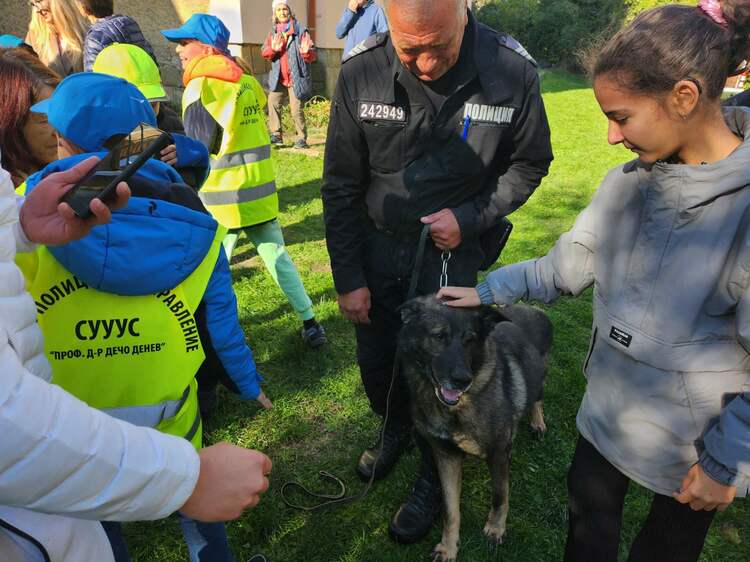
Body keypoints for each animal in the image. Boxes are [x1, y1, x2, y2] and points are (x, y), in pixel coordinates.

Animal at [400, 296, 552, 556]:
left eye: (469, 340)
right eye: (439, 336)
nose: (462, 380)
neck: (455, 408)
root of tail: (534, 308)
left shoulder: (498, 454)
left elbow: (500, 496)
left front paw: (495, 529)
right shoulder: (446, 456)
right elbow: (450, 509)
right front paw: (448, 547)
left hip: (538, 374)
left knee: (536, 397)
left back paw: (537, 421)